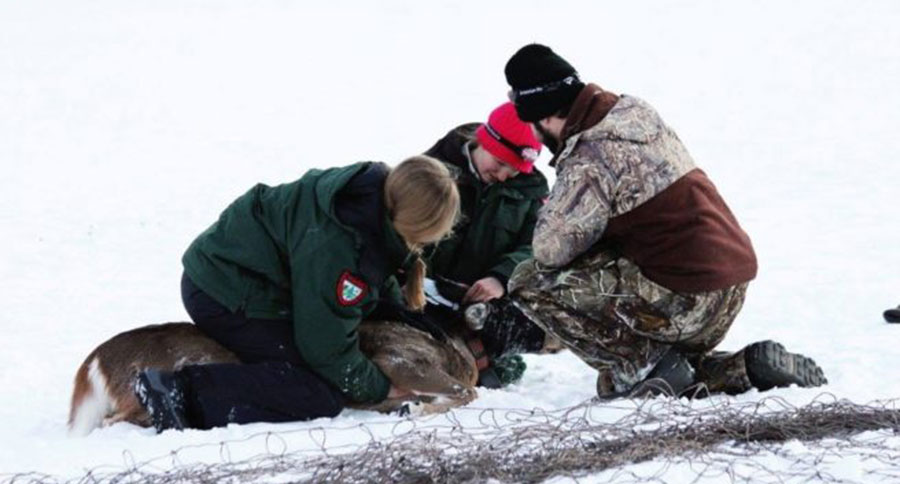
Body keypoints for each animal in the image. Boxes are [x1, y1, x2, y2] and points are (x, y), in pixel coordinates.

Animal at [68, 320, 478, 436]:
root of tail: (97, 359)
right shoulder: (398, 361)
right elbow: (466, 392)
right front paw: (418, 409)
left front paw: (410, 407)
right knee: (112, 419)